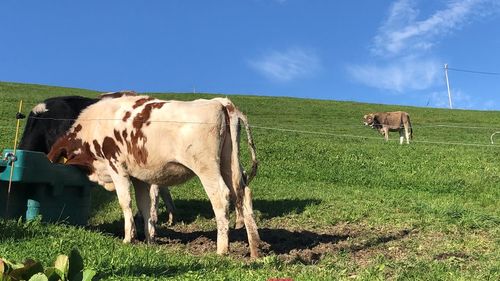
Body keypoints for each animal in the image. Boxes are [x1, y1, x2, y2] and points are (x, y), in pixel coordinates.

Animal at [47, 95, 262, 258]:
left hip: (206, 167)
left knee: (221, 197)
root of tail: (220, 102)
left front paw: (129, 238)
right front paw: (150, 240)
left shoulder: (117, 167)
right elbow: (145, 206)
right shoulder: (139, 177)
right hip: (229, 165)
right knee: (243, 193)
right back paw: (255, 248)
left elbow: (126, 202)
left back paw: (222, 249)